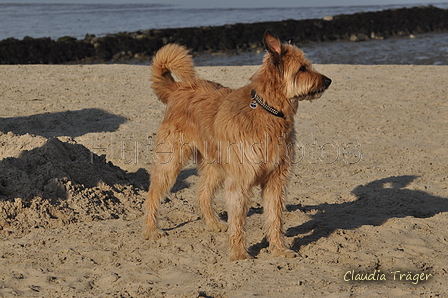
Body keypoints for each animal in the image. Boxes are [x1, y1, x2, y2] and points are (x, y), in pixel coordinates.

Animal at [144, 29, 332, 260]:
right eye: (302, 68)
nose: (328, 80)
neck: (268, 111)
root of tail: (179, 88)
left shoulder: (275, 181)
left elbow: (275, 218)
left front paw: (278, 249)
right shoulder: (240, 182)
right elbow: (239, 221)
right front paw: (239, 253)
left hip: (215, 167)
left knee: (202, 193)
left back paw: (214, 223)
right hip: (170, 163)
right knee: (153, 194)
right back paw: (151, 229)